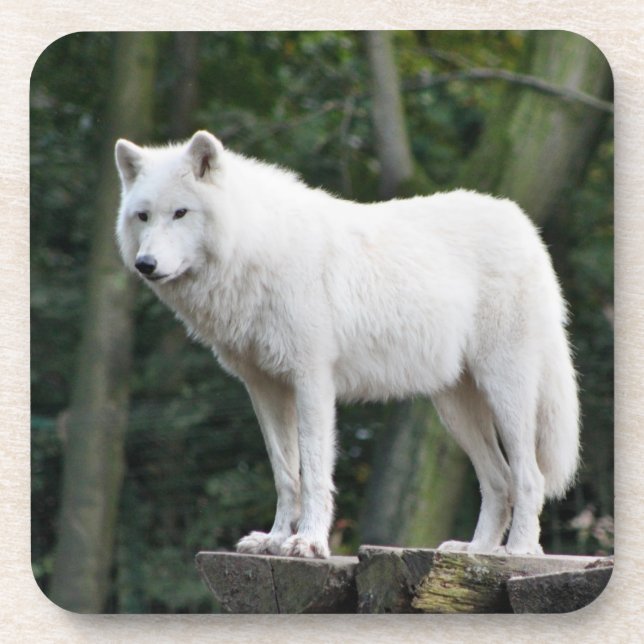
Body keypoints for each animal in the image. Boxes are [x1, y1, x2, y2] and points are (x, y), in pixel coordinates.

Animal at [115, 130, 579, 559]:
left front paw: (308, 542)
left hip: (505, 392)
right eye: (143, 216)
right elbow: (286, 473)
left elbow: (314, 471)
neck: (255, 248)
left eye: (180, 213)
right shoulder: (264, 388)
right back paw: (475, 551)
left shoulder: (312, 380)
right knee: (499, 480)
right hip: (455, 408)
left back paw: (519, 551)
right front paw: (275, 539)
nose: (145, 264)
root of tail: (524, 226)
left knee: (529, 476)